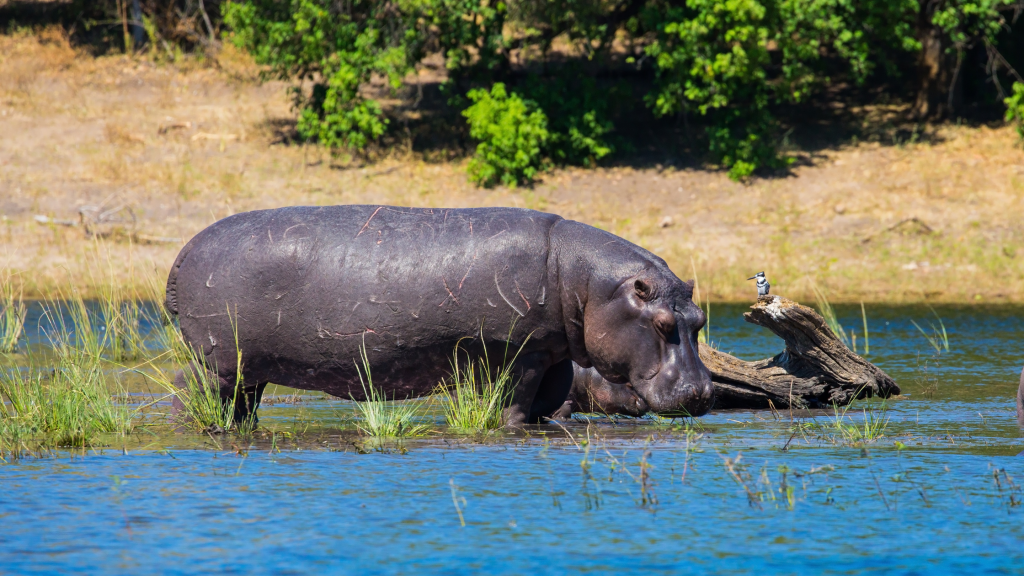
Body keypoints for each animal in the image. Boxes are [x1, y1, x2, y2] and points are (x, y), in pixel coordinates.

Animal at [165, 203, 712, 424]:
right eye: (662, 324)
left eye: (699, 321)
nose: (704, 392)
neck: (583, 282)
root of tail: (180, 255)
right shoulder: (519, 354)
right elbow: (514, 403)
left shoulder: (552, 351)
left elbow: (550, 401)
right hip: (215, 361)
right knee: (189, 391)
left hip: (247, 370)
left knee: (240, 405)